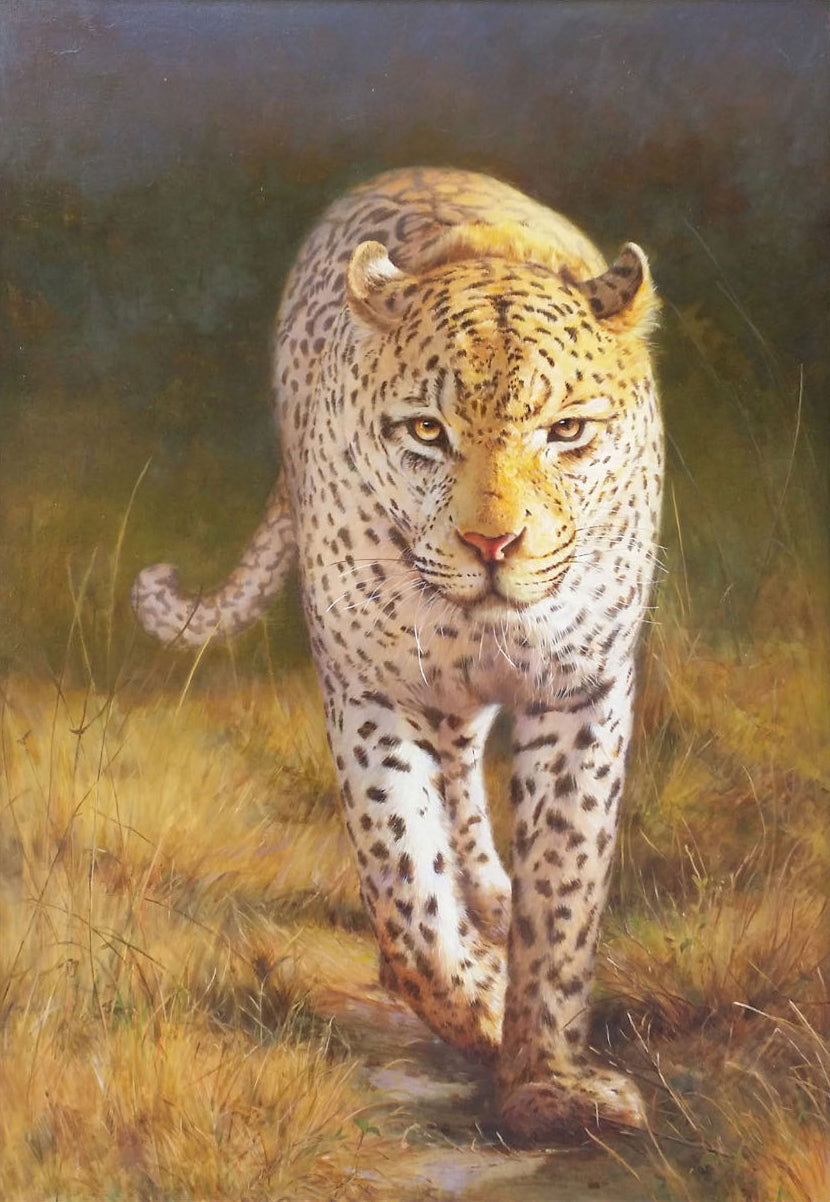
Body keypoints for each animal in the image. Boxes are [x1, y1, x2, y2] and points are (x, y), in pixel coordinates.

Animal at [132, 167, 663, 1143]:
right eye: (425, 432)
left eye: (568, 432)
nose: (495, 546)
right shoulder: (372, 684)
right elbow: (404, 878)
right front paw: (478, 1001)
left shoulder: (582, 692)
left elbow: (566, 885)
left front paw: (550, 1082)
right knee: (447, 778)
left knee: (465, 767)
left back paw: (491, 892)